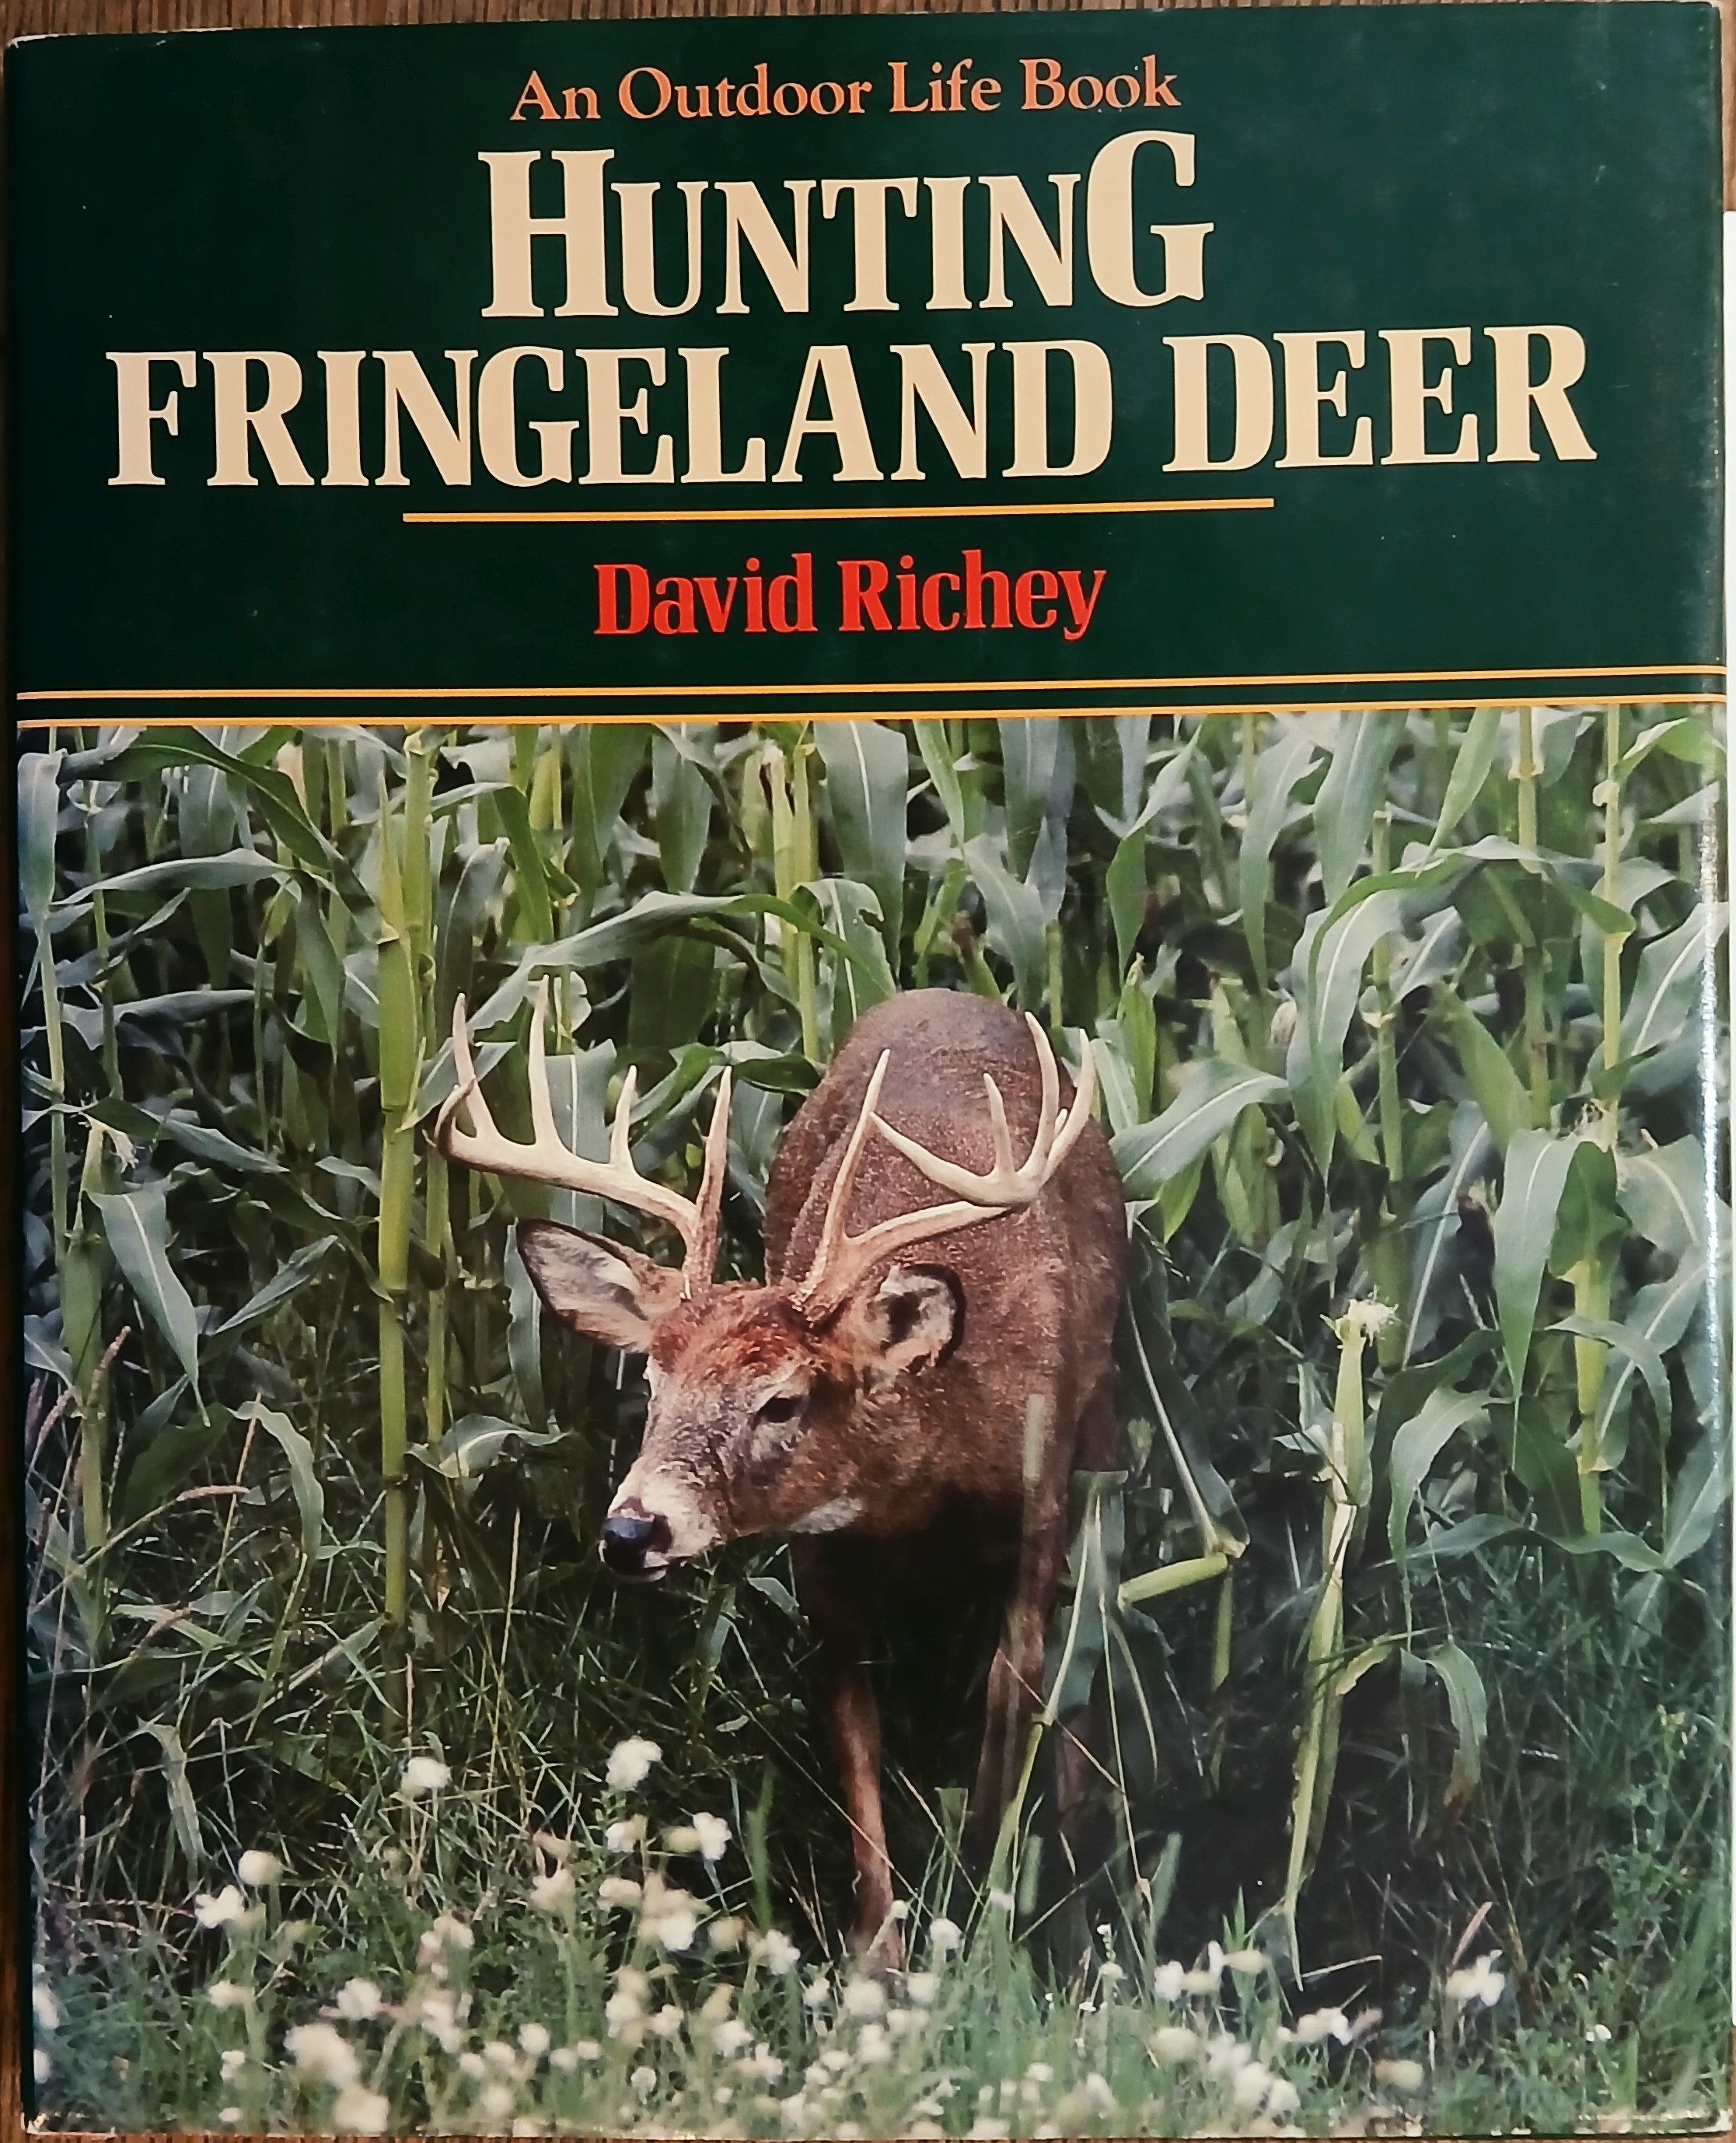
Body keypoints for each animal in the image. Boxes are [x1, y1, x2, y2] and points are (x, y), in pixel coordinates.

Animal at [436, 984, 1127, 1958]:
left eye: (782, 1400)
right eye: (652, 1378)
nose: (631, 1528)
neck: (925, 1483)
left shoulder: (1038, 1511)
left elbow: (1014, 1697)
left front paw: (985, 1907)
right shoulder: (820, 1556)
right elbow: (852, 1737)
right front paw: (877, 1957)